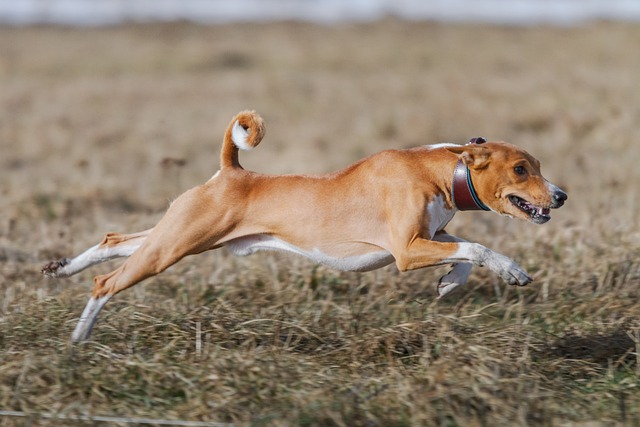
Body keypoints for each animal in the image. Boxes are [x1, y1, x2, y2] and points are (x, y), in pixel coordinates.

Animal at [42, 109, 568, 342]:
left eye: (539, 166)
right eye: (522, 169)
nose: (561, 196)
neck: (439, 170)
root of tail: (231, 170)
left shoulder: (431, 237)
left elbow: (464, 251)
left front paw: (448, 283)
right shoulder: (405, 250)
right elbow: (478, 248)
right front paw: (512, 270)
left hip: (171, 236)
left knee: (113, 241)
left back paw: (62, 268)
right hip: (173, 246)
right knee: (107, 282)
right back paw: (79, 337)